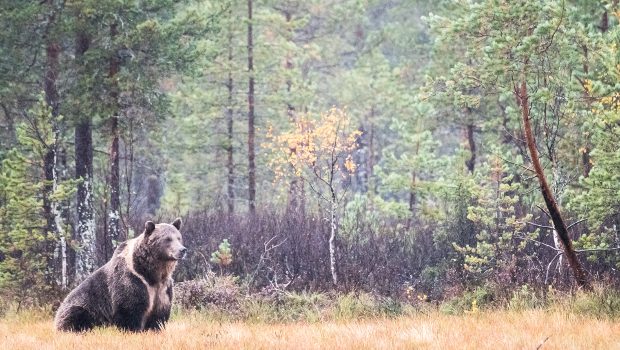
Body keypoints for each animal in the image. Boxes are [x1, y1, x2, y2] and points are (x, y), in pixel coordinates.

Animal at [54, 219, 185, 330]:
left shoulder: (162, 287)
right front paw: (133, 329)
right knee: (76, 314)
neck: (150, 273)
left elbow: (159, 313)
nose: (183, 250)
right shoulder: (132, 279)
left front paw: (154, 328)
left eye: (179, 238)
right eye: (168, 239)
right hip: (82, 307)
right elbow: (129, 307)